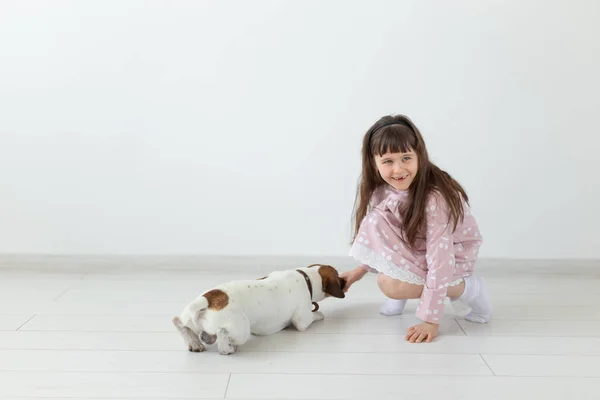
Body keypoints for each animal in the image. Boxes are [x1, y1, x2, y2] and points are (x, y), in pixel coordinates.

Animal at [171, 264, 346, 354]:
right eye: (338, 276)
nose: (345, 280)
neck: (306, 277)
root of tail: (209, 298)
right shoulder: (302, 321)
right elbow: (314, 315)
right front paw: (319, 313)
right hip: (241, 329)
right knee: (223, 339)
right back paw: (227, 346)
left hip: (191, 318)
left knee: (180, 324)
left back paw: (196, 343)